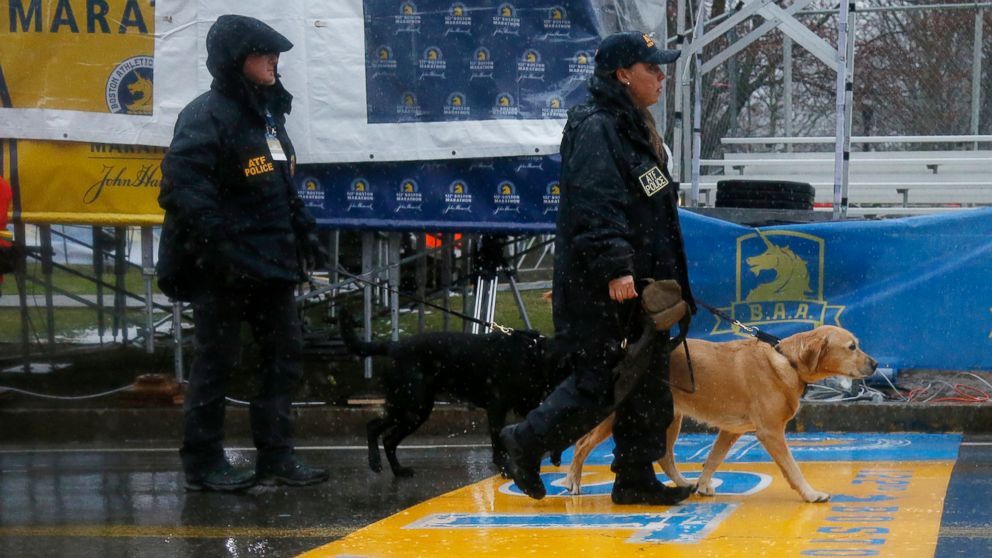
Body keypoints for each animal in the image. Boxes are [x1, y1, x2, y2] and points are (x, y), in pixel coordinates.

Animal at [340, 310, 564, 476]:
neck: (535, 355)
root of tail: (393, 345)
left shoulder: (528, 405)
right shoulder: (496, 407)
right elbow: (497, 440)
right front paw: (504, 467)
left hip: (416, 411)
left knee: (388, 439)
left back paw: (399, 471)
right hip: (410, 405)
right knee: (372, 427)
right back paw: (375, 462)